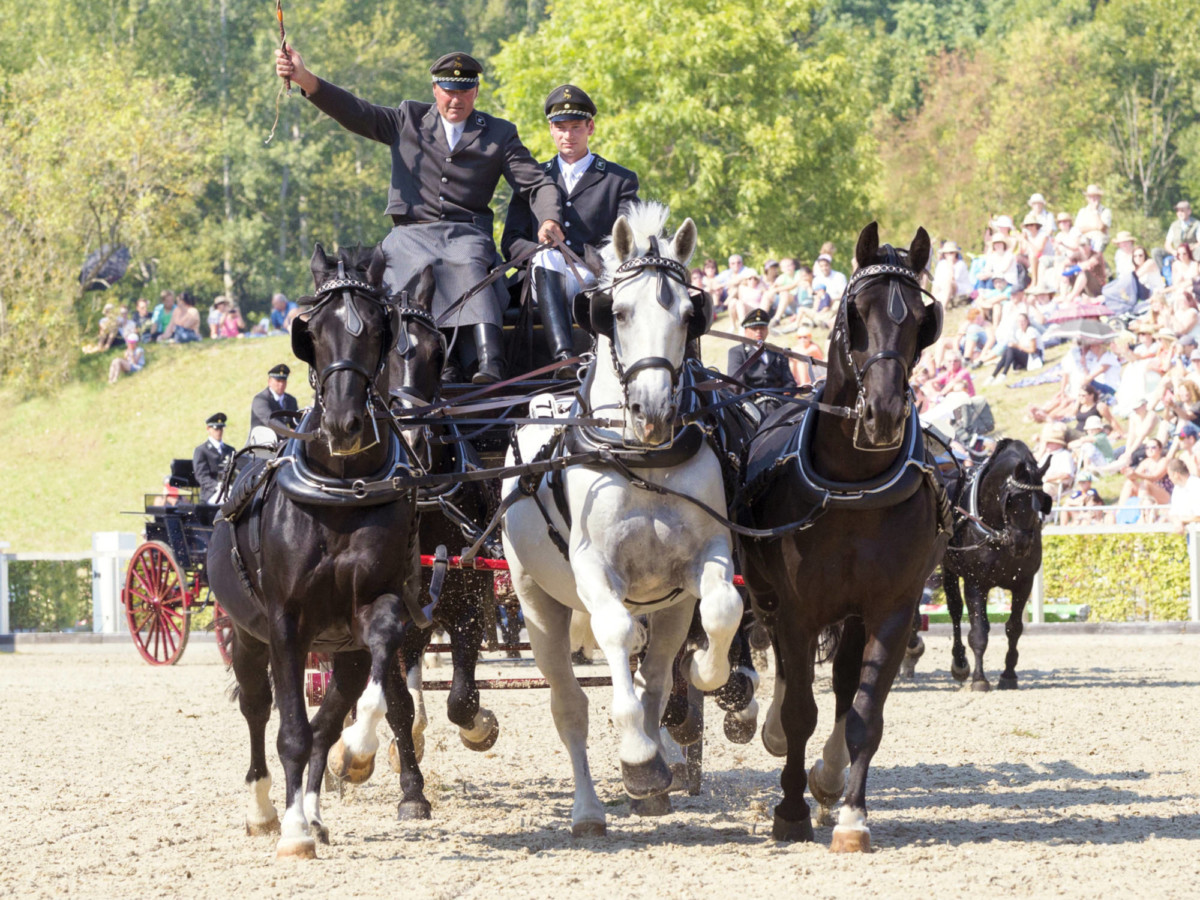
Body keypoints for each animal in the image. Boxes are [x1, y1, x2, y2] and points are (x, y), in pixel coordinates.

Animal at [211, 244, 427, 859]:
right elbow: (290, 730)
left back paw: (313, 807)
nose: (344, 425)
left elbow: (357, 703)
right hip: (246, 635)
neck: (342, 487)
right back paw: (265, 808)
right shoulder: (286, 621)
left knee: (327, 717)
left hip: (339, 645)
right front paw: (290, 831)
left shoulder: (375, 607)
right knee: (257, 707)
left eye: (378, 328)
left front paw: (355, 754)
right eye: (313, 330)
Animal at [496, 204, 739, 840]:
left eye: (690, 315)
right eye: (619, 312)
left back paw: (660, 766)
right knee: (570, 706)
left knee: (656, 680)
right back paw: (590, 808)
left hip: (670, 609)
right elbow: (614, 634)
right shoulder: (594, 571)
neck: (640, 458)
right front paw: (635, 759)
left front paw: (708, 672)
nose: (651, 410)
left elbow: (722, 611)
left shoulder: (706, 556)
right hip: (536, 604)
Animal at [734, 224, 950, 854]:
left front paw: (852, 813)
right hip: (768, 595)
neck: (855, 485)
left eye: (922, 319)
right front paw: (789, 810)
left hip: (854, 612)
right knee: (784, 668)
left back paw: (829, 777)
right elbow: (799, 706)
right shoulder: (799, 608)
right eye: (857, 311)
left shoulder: (892, 608)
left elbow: (863, 712)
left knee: (846, 680)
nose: (883, 414)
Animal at [936, 441, 1051, 691]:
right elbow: (979, 631)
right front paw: (979, 678)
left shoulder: (1023, 583)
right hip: (947, 568)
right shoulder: (976, 583)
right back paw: (960, 663)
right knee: (955, 610)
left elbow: (1014, 628)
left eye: (1042, 499)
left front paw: (1008, 675)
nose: (1022, 543)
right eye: (1012, 499)